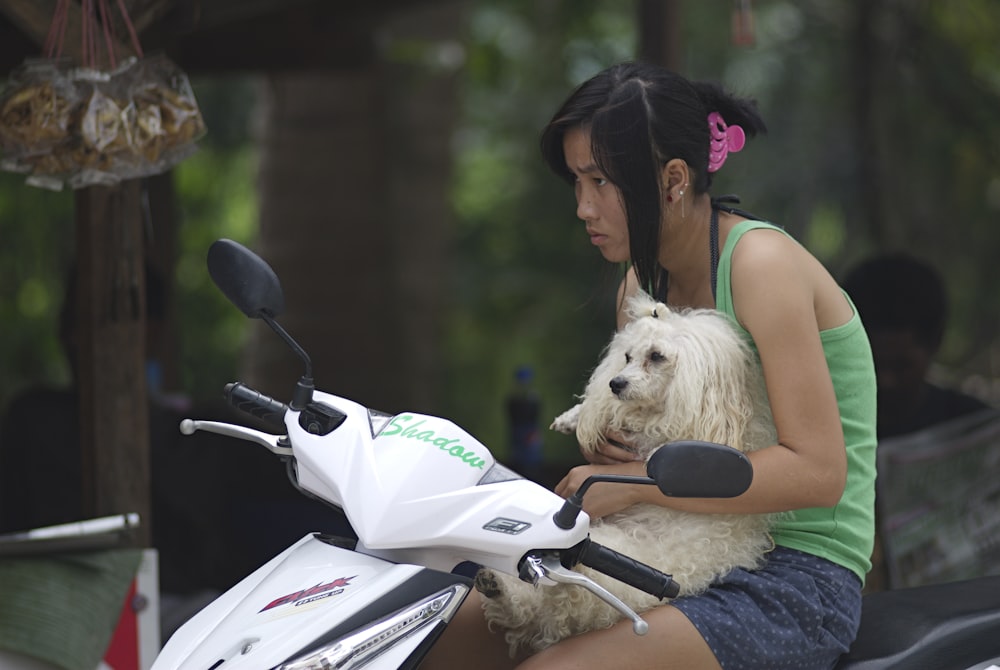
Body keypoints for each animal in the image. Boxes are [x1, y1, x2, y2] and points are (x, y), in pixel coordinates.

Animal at [478, 292, 780, 656]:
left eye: (657, 356)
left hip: (631, 565)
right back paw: (498, 587)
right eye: (626, 356)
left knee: (572, 598)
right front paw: (577, 416)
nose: (616, 384)